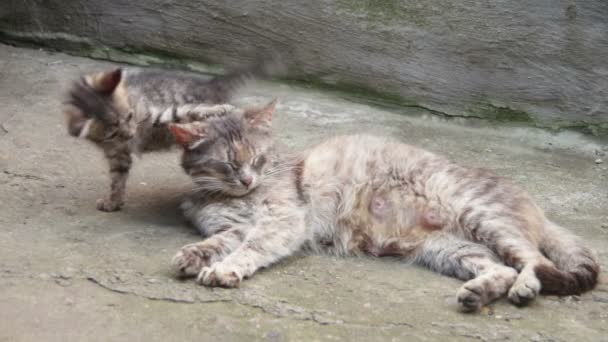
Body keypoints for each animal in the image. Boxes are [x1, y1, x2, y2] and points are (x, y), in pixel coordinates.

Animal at [63, 62, 272, 210]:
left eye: (130, 115)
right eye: (113, 132)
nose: (131, 135)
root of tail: (210, 84)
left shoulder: (153, 115)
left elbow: (181, 112)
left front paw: (216, 110)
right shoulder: (116, 152)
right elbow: (117, 178)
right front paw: (114, 201)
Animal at [166, 103, 600, 312]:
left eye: (257, 159)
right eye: (228, 164)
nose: (247, 180)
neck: (227, 196)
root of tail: (537, 206)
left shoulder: (282, 220)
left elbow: (249, 249)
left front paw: (224, 269)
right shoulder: (233, 227)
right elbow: (217, 242)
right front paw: (193, 255)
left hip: (485, 218)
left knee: (535, 263)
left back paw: (526, 287)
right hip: (451, 250)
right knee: (503, 268)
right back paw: (478, 293)